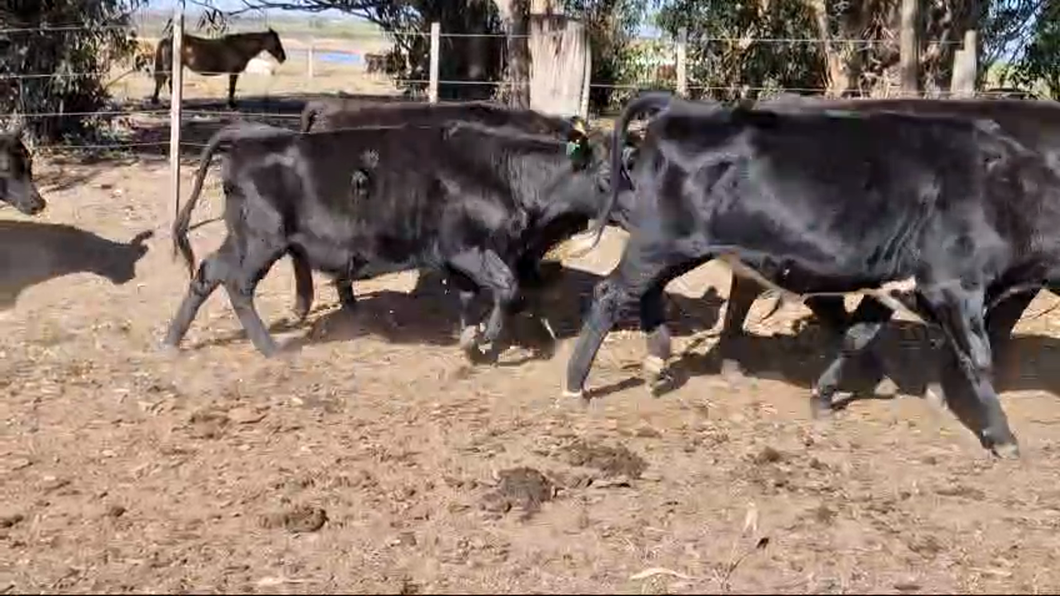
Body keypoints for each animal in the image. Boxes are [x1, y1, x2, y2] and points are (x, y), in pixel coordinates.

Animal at [149, 29, 288, 108]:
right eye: (276, 42)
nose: (283, 57)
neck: (239, 47)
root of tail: (168, 39)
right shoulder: (233, 72)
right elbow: (232, 88)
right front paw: (231, 105)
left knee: (162, 82)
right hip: (170, 68)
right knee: (167, 82)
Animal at [164, 116, 614, 356]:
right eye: (609, 176)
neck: (501, 171)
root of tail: (252, 139)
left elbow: (475, 296)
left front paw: (470, 334)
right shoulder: (466, 248)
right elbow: (507, 287)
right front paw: (481, 343)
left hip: (242, 239)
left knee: (208, 271)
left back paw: (171, 340)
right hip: (262, 241)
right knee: (237, 284)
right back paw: (272, 349)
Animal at [568, 91, 1060, 453]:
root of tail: (687, 107)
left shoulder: (896, 281)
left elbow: (858, 335)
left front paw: (824, 397)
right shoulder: (953, 285)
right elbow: (979, 356)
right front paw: (1002, 436)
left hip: (682, 247)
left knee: (648, 293)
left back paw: (657, 361)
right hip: (660, 242)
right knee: (610, 294)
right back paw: (576, 385)